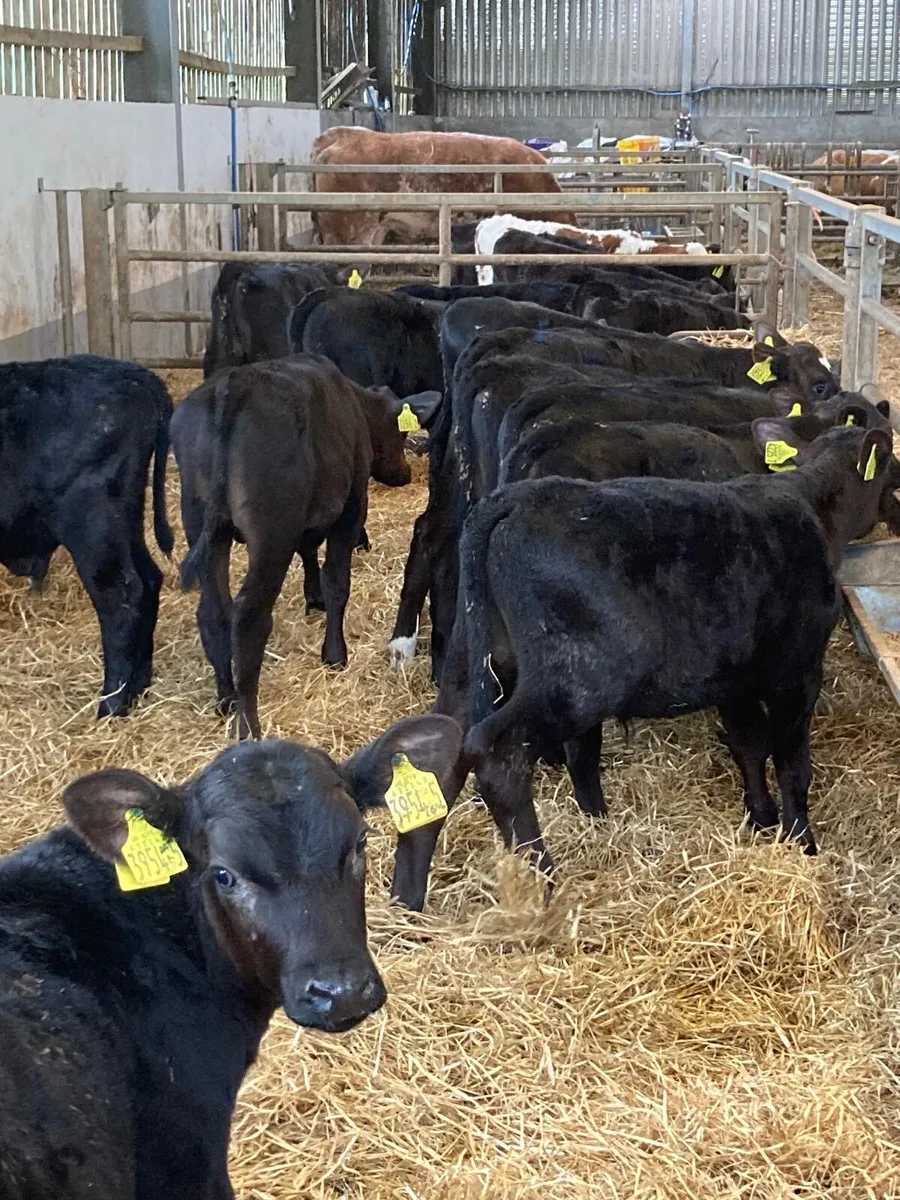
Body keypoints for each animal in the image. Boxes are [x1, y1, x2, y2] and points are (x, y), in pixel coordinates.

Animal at [0, 355, 173, 717]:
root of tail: (139, 376)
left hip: (92, 523)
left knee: (121, 595)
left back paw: (112, 703)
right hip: (125, 520)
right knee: (148, 579)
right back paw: (137, 689)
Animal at [172, 356, 441, 739]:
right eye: (401, 432)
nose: (404, 474)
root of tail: (234, 385)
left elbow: (309, 552)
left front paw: (313, 598)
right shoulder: (350, 510)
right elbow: (337, 583)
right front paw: (335, 655)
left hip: (204, 527)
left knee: (213, 613)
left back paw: (226, 698)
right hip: (271, 532)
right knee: (249, 617)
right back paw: (248, 723)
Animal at [380, 422, 898, 912]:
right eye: (892, 470)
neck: (813, 509)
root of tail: (514, 500)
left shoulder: (737, 678)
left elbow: (749, 746)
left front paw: (761, 818)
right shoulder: (798, 671)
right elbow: (792, 762)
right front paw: (800, 841)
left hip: (472, 665)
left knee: (441, 755)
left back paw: (407, 899)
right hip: (576, 682)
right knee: (497, 753)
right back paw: (543, 883)